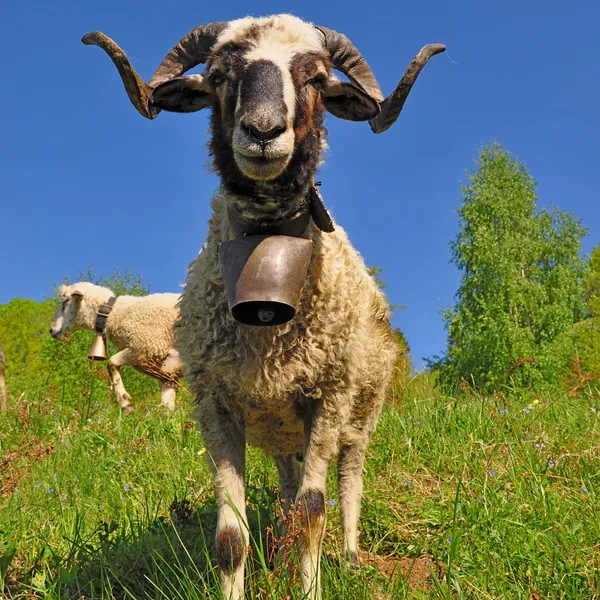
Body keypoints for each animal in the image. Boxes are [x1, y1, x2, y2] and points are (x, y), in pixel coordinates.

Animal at [50, 282, 182, 412]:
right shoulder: (166, 372)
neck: (115, 314)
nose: (51, 330)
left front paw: (125, 403)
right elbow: (167, 406)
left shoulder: (146, 347)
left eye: (65, 301)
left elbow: (111, 363)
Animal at [82, 14, 442, 600]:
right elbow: (233, 534)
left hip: (358, 414)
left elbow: (315, 513)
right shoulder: (216, 406)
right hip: (279, 431)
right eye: (220, 75)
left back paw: (350, 556)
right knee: (290, 492)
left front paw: (311, 587)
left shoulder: (326, 400)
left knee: (348, 483)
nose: (263, 131)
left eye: (317, 78)